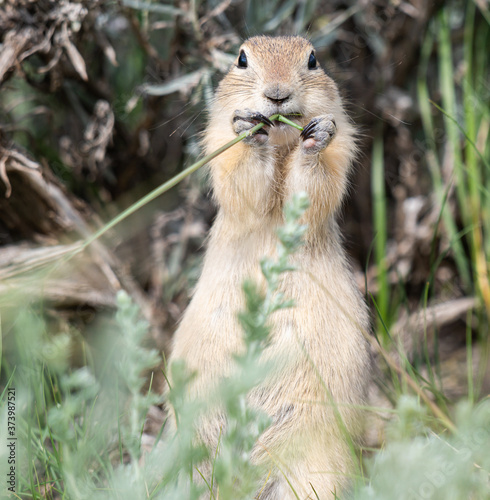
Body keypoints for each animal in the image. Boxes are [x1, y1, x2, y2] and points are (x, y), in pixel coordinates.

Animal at [168, 34, 372, 496]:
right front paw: (249, 129)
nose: (276, 95)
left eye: (313, 59)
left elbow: (315, 182)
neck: (280, 145)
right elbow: (242, 179)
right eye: (242, 59)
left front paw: (316, 136)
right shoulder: (219, 151)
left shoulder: (340, 152)